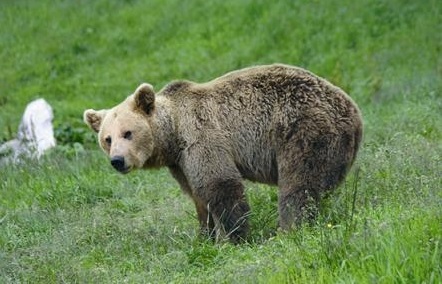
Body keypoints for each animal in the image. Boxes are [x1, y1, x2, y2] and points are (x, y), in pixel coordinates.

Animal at [83, 63, 362, 243]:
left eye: (128, 133)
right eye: (107, 139)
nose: (117, 161)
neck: (172, 135)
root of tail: (354, 112)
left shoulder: (200, 139)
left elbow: (220, 186)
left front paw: (234, 237)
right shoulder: (180, 163)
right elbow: (198, 197)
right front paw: (204, 237)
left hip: (302, 129)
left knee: (299, 184)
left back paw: (288, 230)